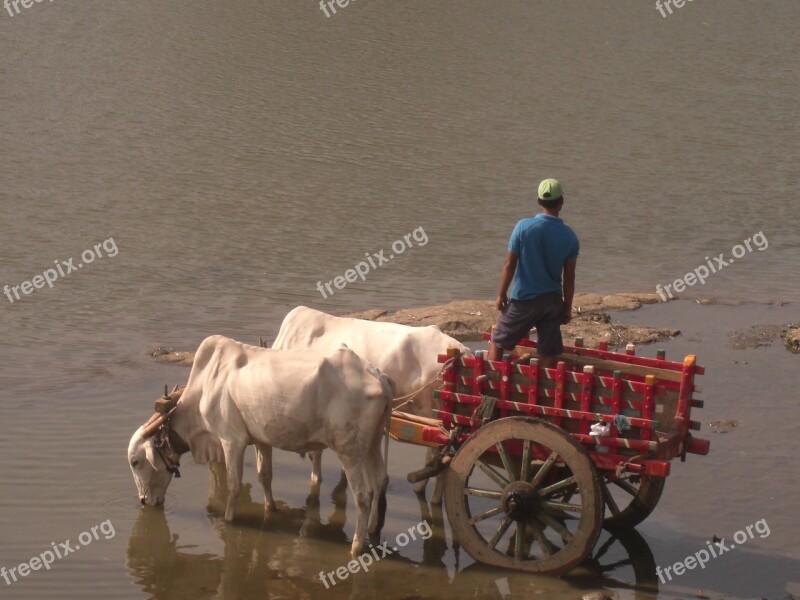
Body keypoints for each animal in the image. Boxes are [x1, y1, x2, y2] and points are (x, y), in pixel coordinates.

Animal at [128, 336, 394, 556]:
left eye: (135, 462)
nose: (143, 501)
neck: (206, 387)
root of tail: (379, 376)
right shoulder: (261, 440)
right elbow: (264, 476)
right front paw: (270, 508)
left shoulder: (231, 441)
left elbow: (234, 485)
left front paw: (229, 520)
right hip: (372, 443)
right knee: (379, 481)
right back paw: (373, 530)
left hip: (349, 451)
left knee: (362, 495)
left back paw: (357, 547)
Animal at [272, 308, 472, 504]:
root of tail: (462, 352)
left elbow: (316, 454)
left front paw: (315, 478)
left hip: (434, 416)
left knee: (441, 463)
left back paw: (431, 497)